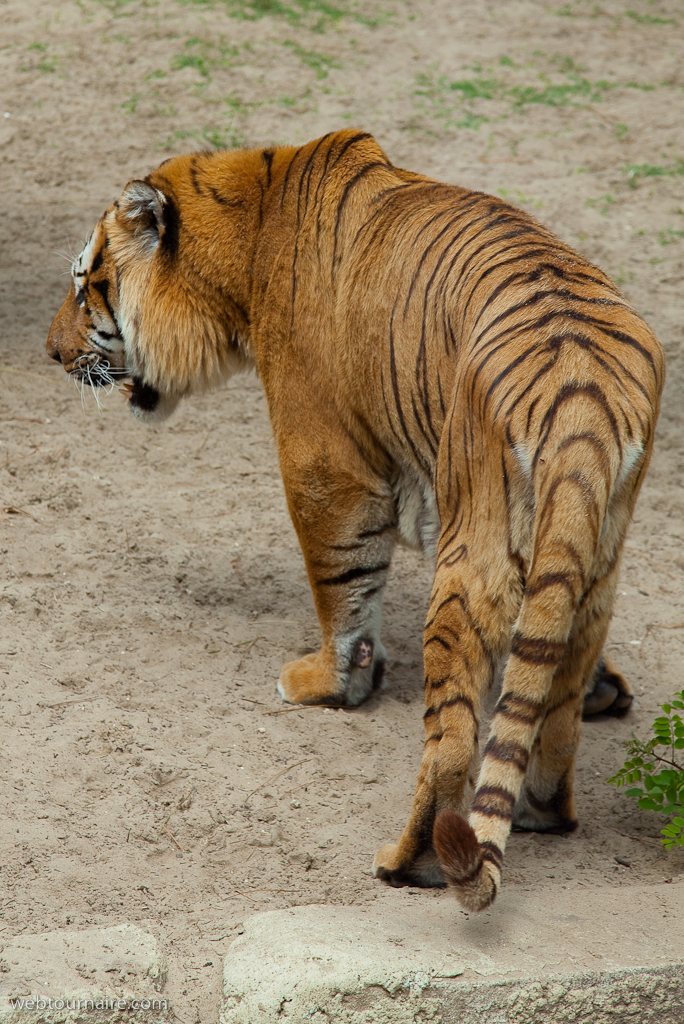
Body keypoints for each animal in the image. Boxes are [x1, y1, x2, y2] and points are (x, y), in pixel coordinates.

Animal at [46, 129, 664, 912]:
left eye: (83, 286)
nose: (51, 353)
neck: (250, 225)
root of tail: (583, 397)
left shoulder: (323, 463)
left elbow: (342, 582)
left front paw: (331, 683)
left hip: (472, 566)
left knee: (453, 742)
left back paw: (407, 860)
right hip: (598, 556)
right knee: (552, 703)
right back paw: (540, 808)